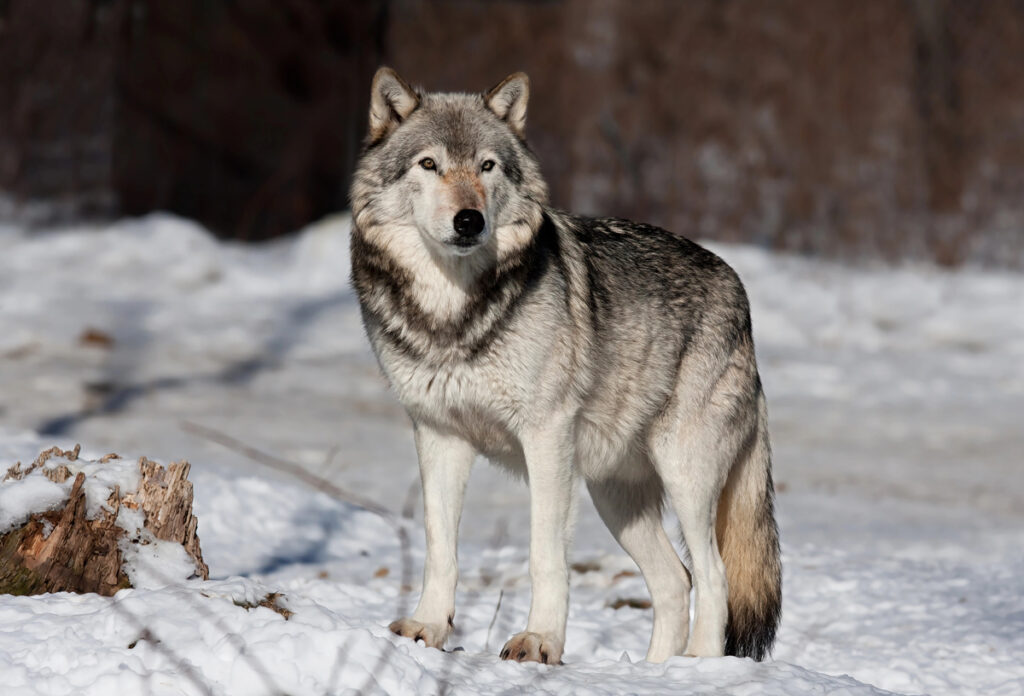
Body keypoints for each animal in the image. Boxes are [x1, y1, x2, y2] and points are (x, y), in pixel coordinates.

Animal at [349, 67, 781, 665]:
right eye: (429, 164)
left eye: (487, 166)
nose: (469, 220)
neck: (454, 315)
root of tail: (738, 291)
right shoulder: (439, 435)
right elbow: (441, 547)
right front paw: (427, 628)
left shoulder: (546, 437)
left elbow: (544, 555)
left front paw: (540, 641)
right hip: (613, 495)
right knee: (677, 581)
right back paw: (655, 672)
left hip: (684, 475)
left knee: (713, 577)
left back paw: (696, 667)